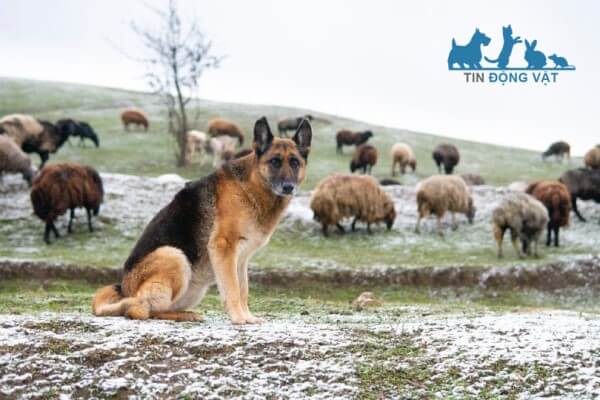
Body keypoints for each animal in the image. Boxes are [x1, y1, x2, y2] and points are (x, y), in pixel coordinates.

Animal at [92, 117, 314, 324]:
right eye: (275, 162)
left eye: (295, 162)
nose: (288, 187)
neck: (251, 187)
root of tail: (123, 288)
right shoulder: (224, 248)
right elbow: (233, 289)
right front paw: (239, 319)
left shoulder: (241, 260)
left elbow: (243, 290)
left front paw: (248, 317)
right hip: (174, 255)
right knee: (139, 309)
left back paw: (186, 314)